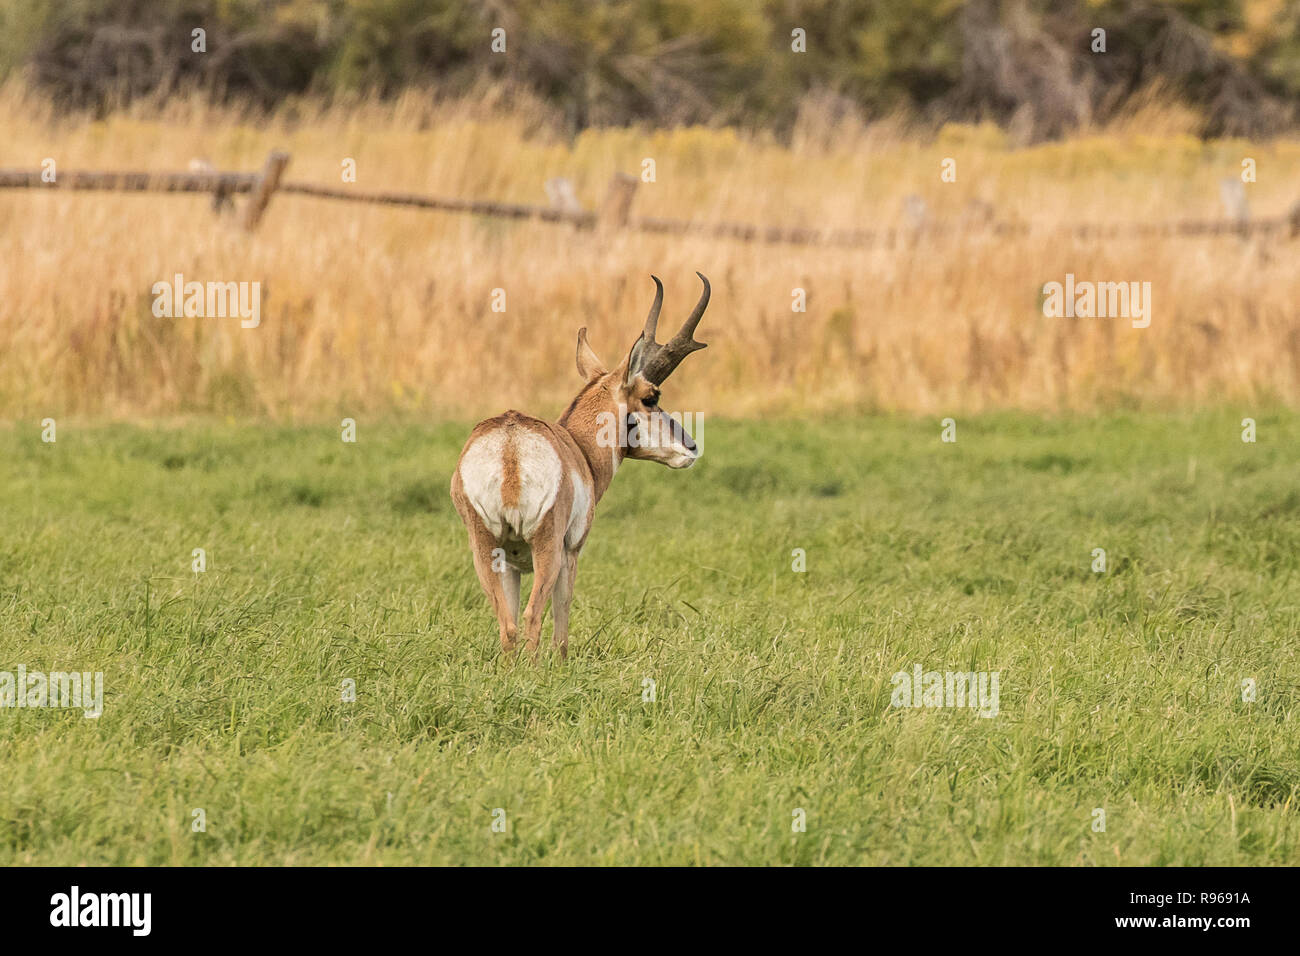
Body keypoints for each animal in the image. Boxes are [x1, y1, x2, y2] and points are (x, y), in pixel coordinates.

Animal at [449, 269, 712, 658]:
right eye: (651, 397)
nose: (691, 447)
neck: (578, 448)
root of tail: (510, 445)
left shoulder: (511, 565)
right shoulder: (572, 552)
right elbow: (561, 625)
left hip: (485, 551)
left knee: (509, 625)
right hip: (548, 550)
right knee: (532, 617)